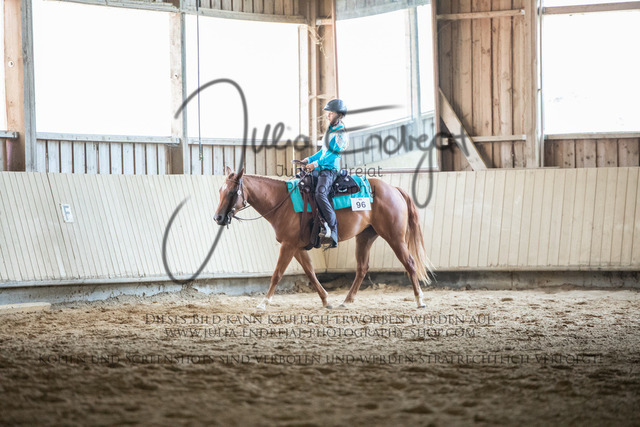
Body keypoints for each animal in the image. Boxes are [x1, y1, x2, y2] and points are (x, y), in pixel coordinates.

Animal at [214, 166, 434, 309]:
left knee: (409, 263)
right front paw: (326, 300)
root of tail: (393, 189)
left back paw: (420, 300)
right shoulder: (296, 247)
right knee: (362, 268)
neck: (281, 201)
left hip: (394, 237)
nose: (218, 217)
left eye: (232, 191)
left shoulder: (288, 245)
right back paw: (346, 301)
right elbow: (310, 272)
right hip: (365, 237)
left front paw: (264, 303)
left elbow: (277, 274)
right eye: (220, 190)